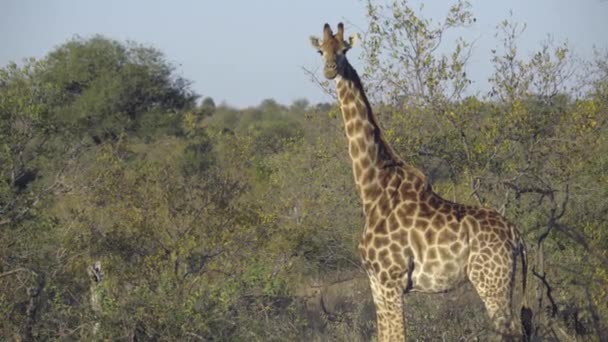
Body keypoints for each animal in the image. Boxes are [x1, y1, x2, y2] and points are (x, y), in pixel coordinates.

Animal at [312, 22, 528, 340]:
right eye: (321, 51)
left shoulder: (392, 279)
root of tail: (517, 235)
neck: (372, 188)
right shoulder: (375, 281)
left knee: (513, 331)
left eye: (344, 50)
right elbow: (384, 335)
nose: (330, 69)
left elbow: (398, 335)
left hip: (491, 281)